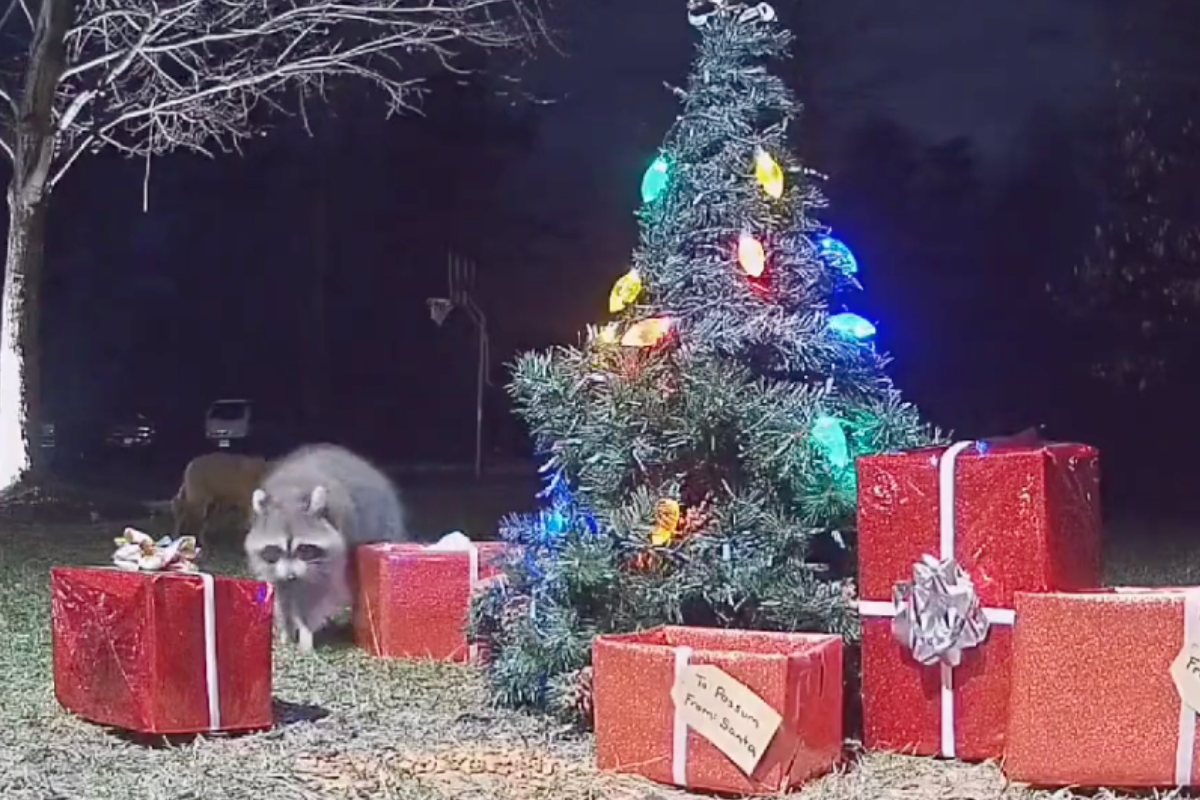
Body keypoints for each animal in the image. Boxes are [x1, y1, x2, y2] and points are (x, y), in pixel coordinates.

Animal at [243, 448, 408, 652]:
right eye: (275, 549)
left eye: (304, 549)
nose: (291, 576)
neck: (290, 494)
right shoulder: (272, 566)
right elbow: (280, 593)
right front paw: (285, 629)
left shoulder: (333, 560)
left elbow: (319, 593)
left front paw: (306, 633)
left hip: (383, 526)